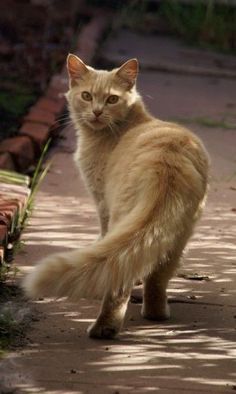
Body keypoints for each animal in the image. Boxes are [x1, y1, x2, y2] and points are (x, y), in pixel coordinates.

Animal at [23, 54, 209, 338]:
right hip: (178, 236)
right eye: (87, 96)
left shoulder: (102, 204)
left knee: (118, 280)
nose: (97, 111)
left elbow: (102, 238)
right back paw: (156, 314)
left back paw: (104, 329)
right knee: (157, 276)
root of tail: (167, 163)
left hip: (122, 217)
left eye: (112, 99)